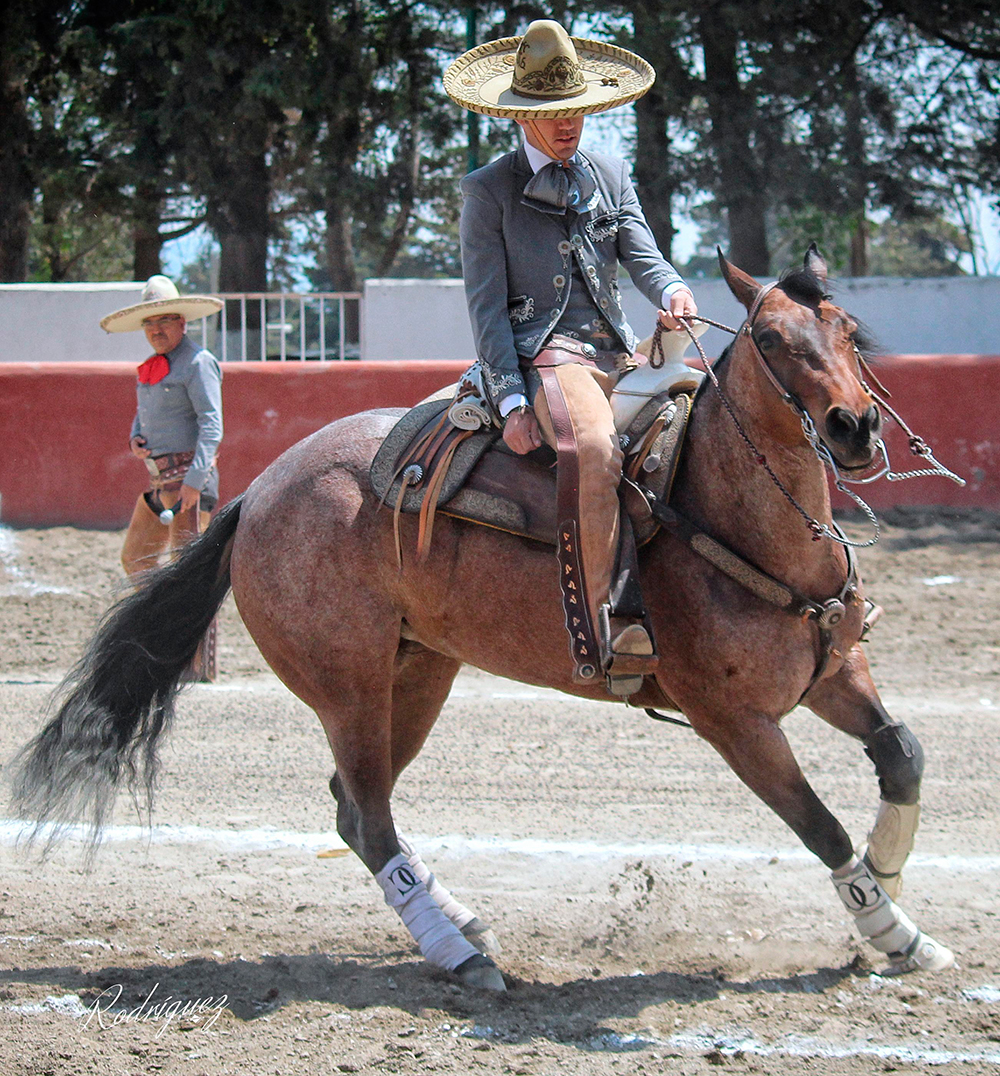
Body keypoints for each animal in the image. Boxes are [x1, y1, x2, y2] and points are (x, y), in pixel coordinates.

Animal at [10, 247, 954, 991]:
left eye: (848, 331)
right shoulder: (735, 721)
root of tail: (261, 489)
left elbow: (903, 756)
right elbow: (819, 824)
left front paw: (892, 880)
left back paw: (462, 926)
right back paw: (462, 955)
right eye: (769, 340)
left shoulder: (833, 673)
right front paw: (893, 929)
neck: (722, 511)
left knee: (354, 811)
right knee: (369, 815)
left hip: (419, 672)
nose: (855, 426)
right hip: (348, 688)